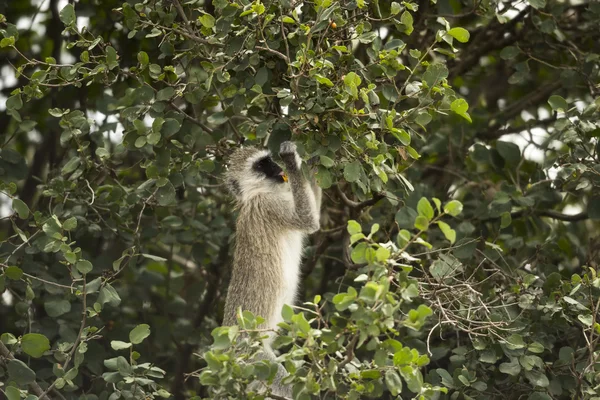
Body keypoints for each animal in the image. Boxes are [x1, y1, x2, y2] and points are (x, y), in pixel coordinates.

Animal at [223, 141, 322, 396]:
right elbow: (309, 221)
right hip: (253, 360)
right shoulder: (268, 205)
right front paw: (293, 161)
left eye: (268, 159)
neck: (257, 193)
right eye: (261, 165)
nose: (278, 168)